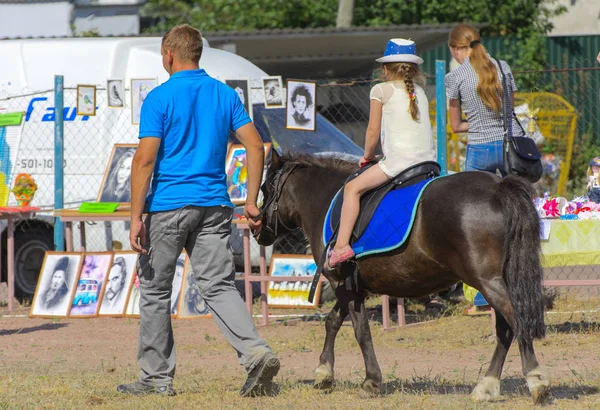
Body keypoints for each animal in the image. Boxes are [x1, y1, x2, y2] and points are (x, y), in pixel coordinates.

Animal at [255, 152, 552, 406]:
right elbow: (333, 321)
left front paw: (371, 381)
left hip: (486, 280)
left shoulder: (345, 286)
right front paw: (324, 372)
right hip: (496, 279)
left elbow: (360, 331)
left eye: (265, 188)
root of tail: (498, 186)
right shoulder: (351, 287)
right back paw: (487, 386)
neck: (326, 200)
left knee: (515, 319)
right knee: (506, 327)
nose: (257, 229)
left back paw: (536, 381)